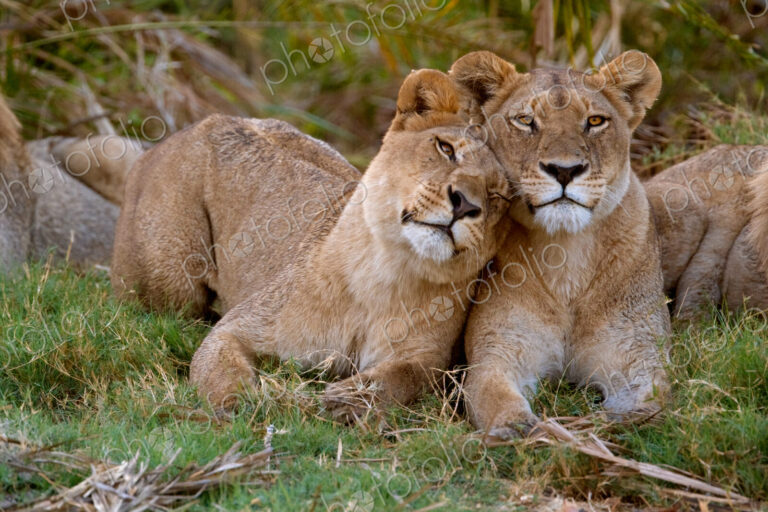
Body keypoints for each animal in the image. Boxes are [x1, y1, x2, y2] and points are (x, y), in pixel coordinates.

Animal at [110, 69, 513, 418]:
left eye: (498, 195)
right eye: (446, 148)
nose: (464, 204)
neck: (389, 271)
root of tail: (200, 124)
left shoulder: (430, 358)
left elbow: (406, 376)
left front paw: (348, 400)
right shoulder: (239, 326)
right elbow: (218, 363)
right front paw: (237, 405)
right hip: (172, 286)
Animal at [449, 50, 671, 437]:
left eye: (595, 121)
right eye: (526, 121)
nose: (564, 170)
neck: (566, 254)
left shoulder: (638, 351)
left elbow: (654, 402)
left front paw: (616, 425)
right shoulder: (499, 349)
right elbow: (495, 394)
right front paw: (518, 431)